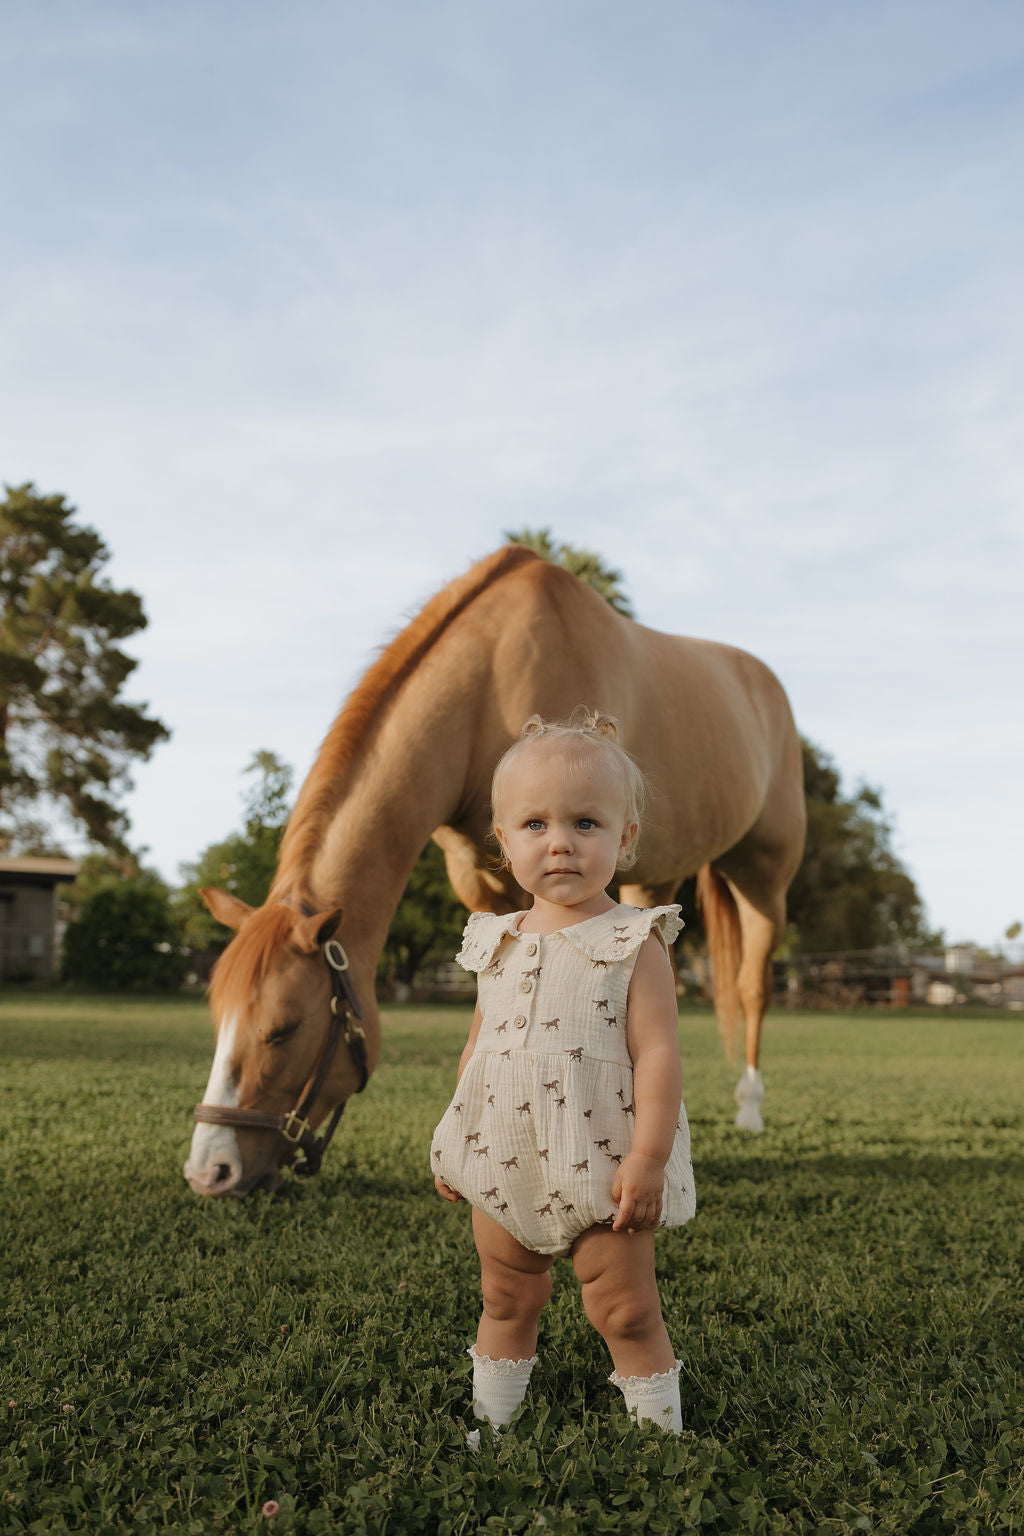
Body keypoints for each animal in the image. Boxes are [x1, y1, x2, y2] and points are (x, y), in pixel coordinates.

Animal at [184, 544, 805, 1197]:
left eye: (283, 1029)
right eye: (218, 1019)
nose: (209, 1171)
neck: (489, 684)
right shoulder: (479, 883)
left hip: (764, 881)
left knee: (753, 986)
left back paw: (749, 1107)